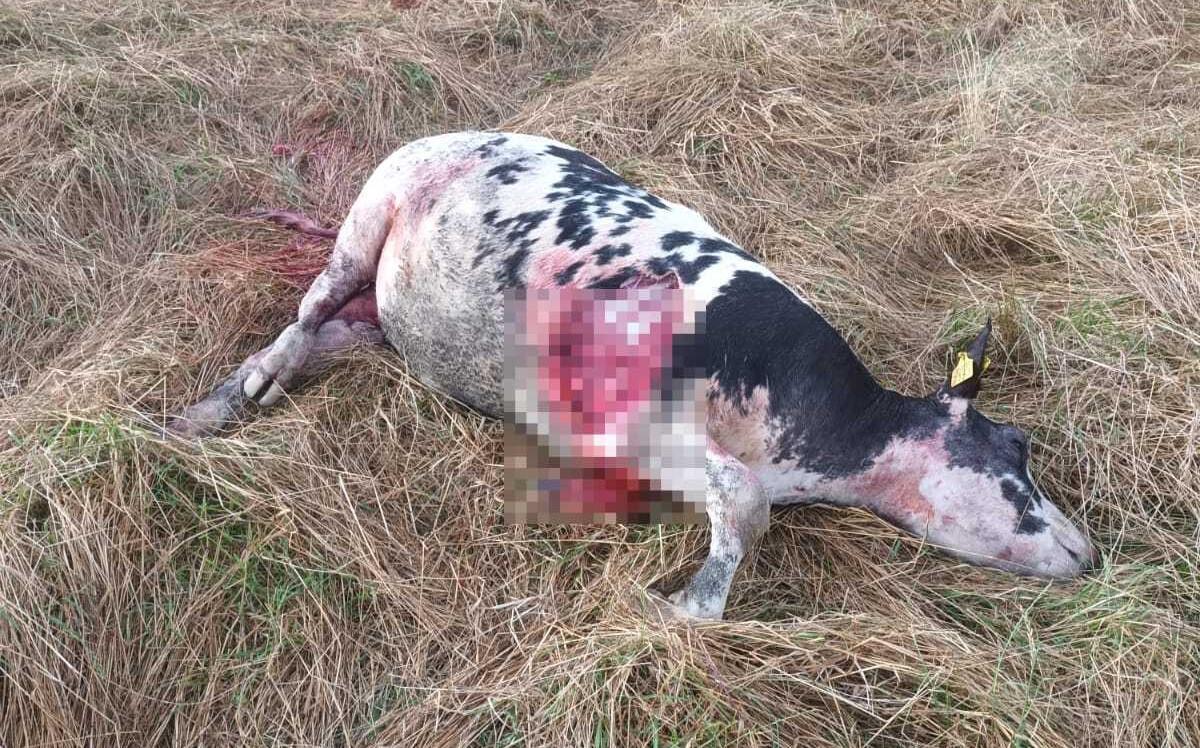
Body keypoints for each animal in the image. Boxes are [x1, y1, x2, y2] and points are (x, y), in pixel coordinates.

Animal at [168, 131, 1096, 620]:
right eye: (1018, 448)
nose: (1088, 551)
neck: (814, 445)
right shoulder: (644, 411)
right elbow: (742, 506)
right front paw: (684, 607)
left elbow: (734, 500)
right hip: (374, 206)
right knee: (307, 310)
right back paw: (239, 394)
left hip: (391, 322)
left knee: (339, 333)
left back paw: (206, 410)